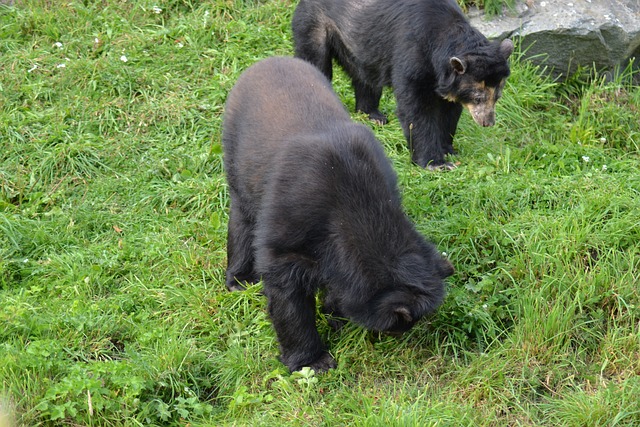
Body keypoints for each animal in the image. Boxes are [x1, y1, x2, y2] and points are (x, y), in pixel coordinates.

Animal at [222, 57, 452, 374]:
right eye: (398, 325)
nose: (401, 332)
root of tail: (264, 62)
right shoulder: (288, 230)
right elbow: (286, 292)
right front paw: (313, 361)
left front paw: (334, 313)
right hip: (237, 158)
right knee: (243, 217)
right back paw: (240, 280)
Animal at [292, 0, 512, 171]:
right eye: (478, 97)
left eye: (497, 97)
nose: (487, 122)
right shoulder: (412, 54)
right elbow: (416, 109)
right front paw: (436, 164)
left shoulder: (450, 85)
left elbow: (450, 112)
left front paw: (449, 149)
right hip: (315, 25)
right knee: (315, 61)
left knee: (366, 78)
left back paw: (373, 115)